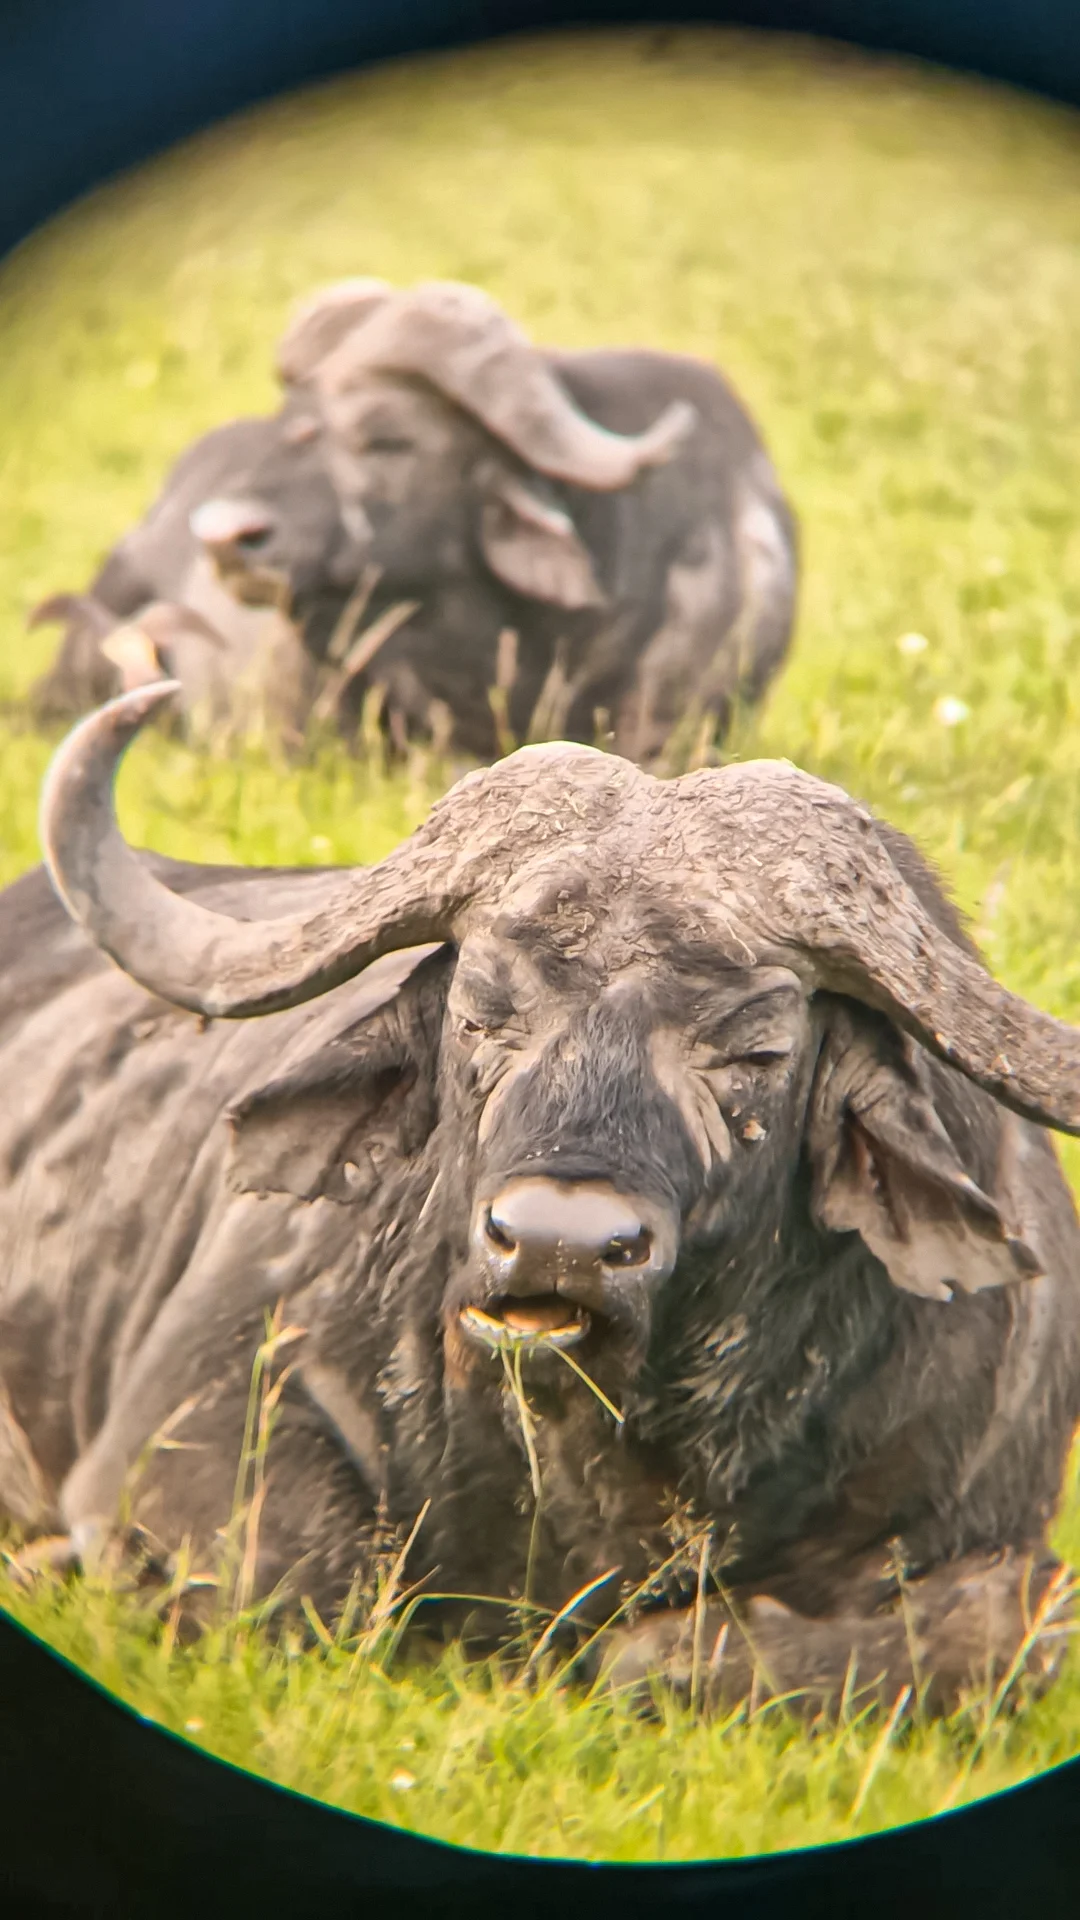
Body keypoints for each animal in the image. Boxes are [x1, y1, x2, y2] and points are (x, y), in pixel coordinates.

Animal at [2, 687, 1076, 1712]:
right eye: (480, 1012)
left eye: (759, 1050)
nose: (560, 1245)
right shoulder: (195, 1422)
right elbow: (297, 1589)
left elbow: (688, 1657)